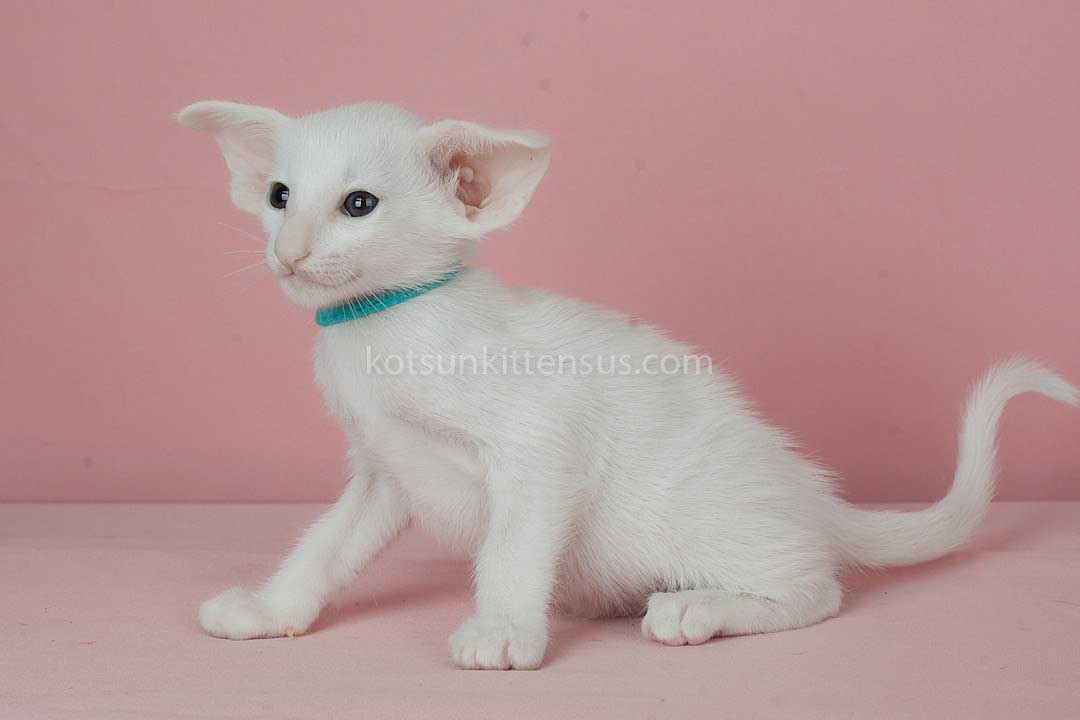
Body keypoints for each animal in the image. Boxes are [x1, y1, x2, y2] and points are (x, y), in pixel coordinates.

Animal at [178, 100, 1076, 669]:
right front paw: (271, 610)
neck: (380, 328)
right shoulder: (383, 470)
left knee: (817, 589)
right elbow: (324, 546)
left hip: (702, 520)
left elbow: (511, 546)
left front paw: (502, 629)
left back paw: (699, 607)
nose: (288, 252)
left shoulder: (537, 448)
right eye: (278, 196)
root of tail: (812, 498)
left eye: (359, 205)